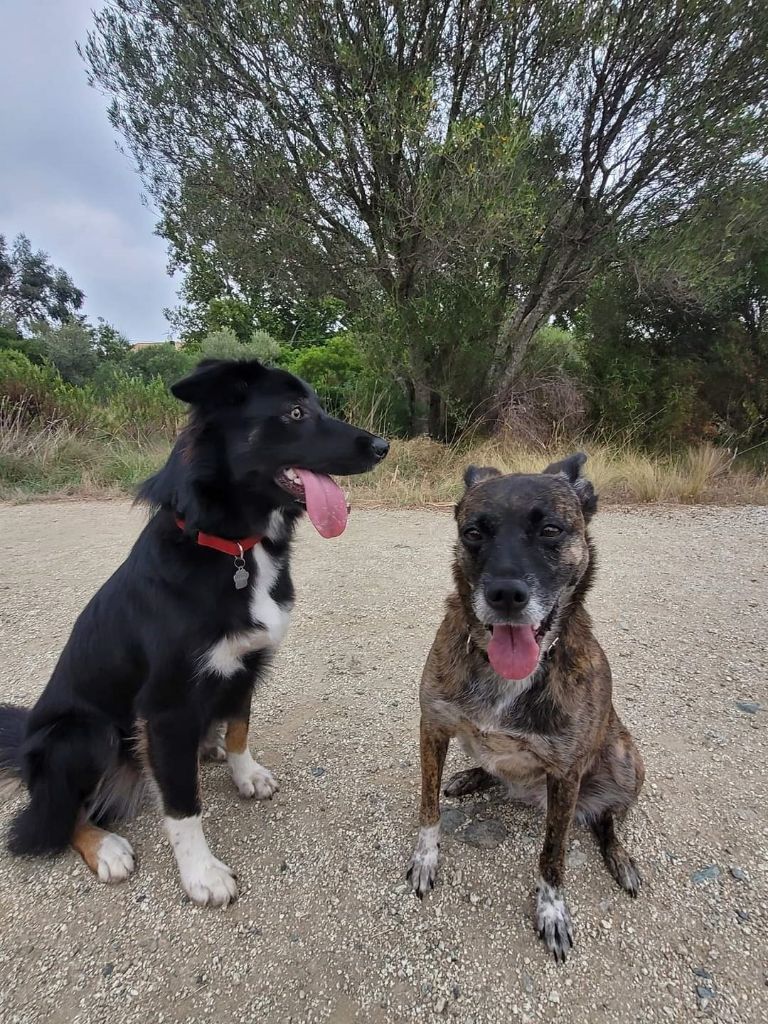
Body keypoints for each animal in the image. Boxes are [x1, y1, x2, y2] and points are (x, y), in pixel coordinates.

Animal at [0, 358, 387, 905]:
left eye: (317, 405)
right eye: (294, 412)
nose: (382, 446)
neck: (237, 548)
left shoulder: (247, 665)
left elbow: (240, 727)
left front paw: (245, 773)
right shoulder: (166, 708)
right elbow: (183, 804)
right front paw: (201, 873)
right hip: (82, 734)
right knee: (52, 817)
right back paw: (105, 847)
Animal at [405, 454, 647, 958]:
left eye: (551, 530)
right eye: (474, 532)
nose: (506, 595)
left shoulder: (566, 773)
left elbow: (553, 854)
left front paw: (551, 911)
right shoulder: (432, 728)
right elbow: (428, 807)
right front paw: (426, 858)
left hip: (625, 759)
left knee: (606, 820)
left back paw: (620, 859)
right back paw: (470, 777)